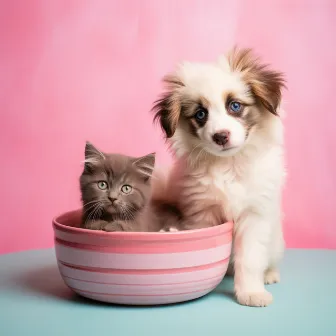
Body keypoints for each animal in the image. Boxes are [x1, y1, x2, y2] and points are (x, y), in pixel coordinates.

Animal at [152, 48, 286, 308]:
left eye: (235, 106)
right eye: (200, 114)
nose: (220, 136)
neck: (229, 165)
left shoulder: (254, 215)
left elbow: (250, 259)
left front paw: (251, 293)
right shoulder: (202, 213)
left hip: (276, 242)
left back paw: (270, 275)